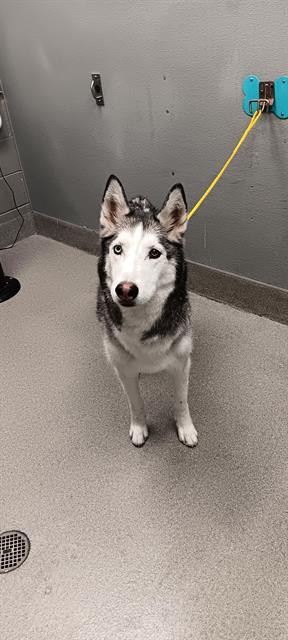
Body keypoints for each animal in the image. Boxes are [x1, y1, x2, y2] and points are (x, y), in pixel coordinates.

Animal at [97, 172, 198, 448]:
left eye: (154, 253)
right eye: (118, 249)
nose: (125, 290)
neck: (142, 320)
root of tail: (139, 200)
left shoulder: (182, 364)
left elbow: (182, 402)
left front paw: (185, 428)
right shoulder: (124, 370)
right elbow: (135, 403)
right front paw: (139, 428)